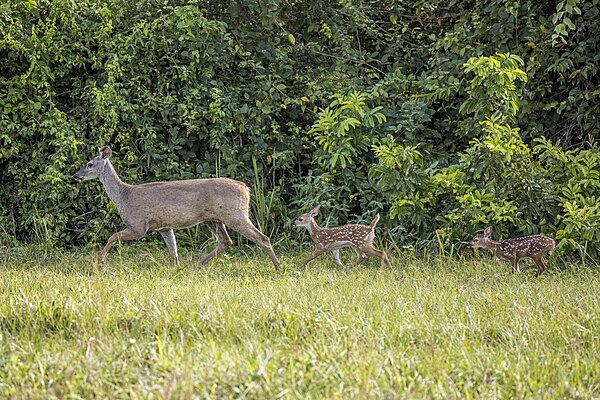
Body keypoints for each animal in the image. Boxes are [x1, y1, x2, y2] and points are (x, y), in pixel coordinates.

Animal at [74, 145, 280, 270]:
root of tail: (245, 187)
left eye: (89, 164)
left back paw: (278, 267)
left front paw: (99, 261)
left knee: (262, 238)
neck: (123, 196)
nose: (76, 175)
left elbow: (112, 237)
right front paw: (176, 269)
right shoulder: (164, 226)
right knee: (226, 241)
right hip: (213, 218)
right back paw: (198, 265)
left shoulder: (138, 225)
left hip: (234, 215)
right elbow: (173, 252)